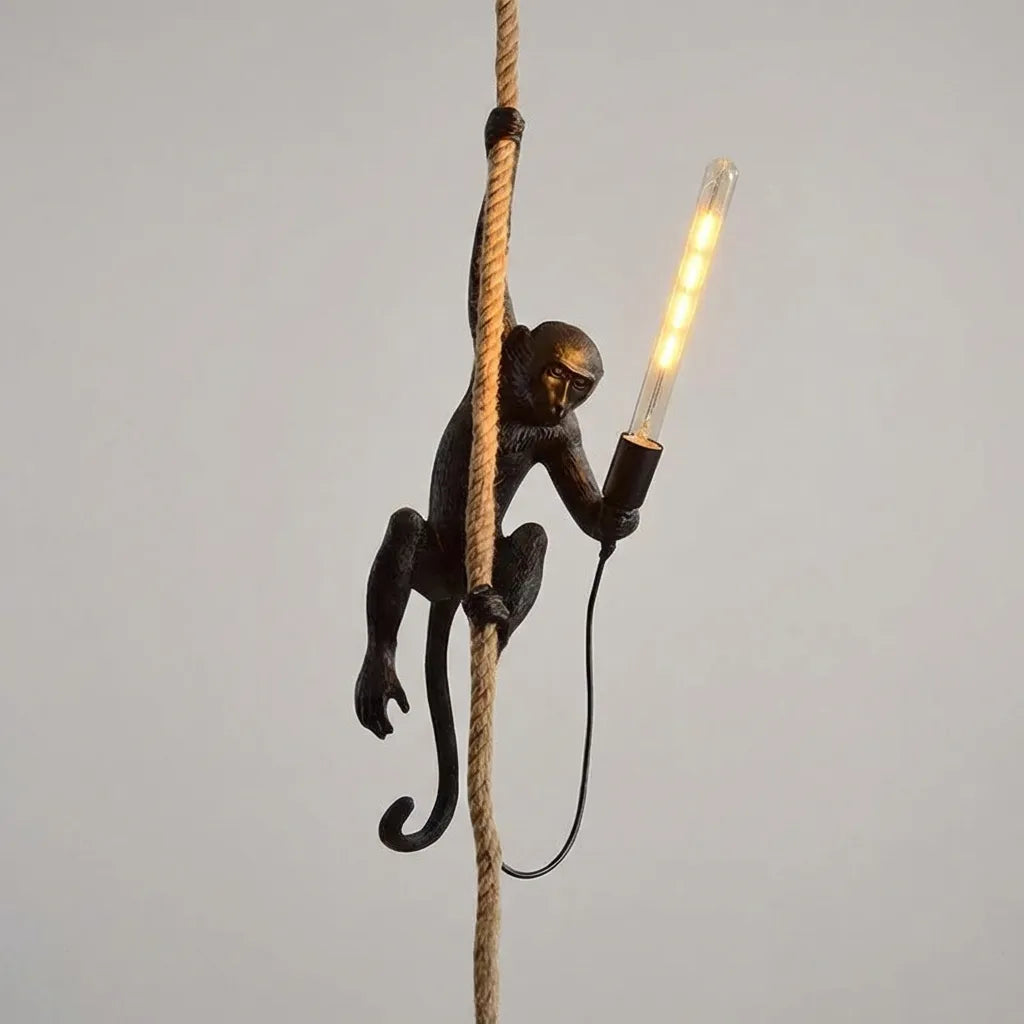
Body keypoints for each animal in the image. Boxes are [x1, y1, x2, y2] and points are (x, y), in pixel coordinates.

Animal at [354, 106, 639, 853]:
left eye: (581, 384)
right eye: (557, 371)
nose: (564, 395)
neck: (520, 408)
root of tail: (454, 590)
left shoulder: (565, 435)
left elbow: (582, 517)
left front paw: (619, 518)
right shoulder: (500, 345)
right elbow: (486, 272)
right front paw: (502, 134)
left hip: (475, 572)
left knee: (534, 536)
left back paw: (498, 624)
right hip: (432, 567)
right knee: (405, 528)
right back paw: (380, 668)